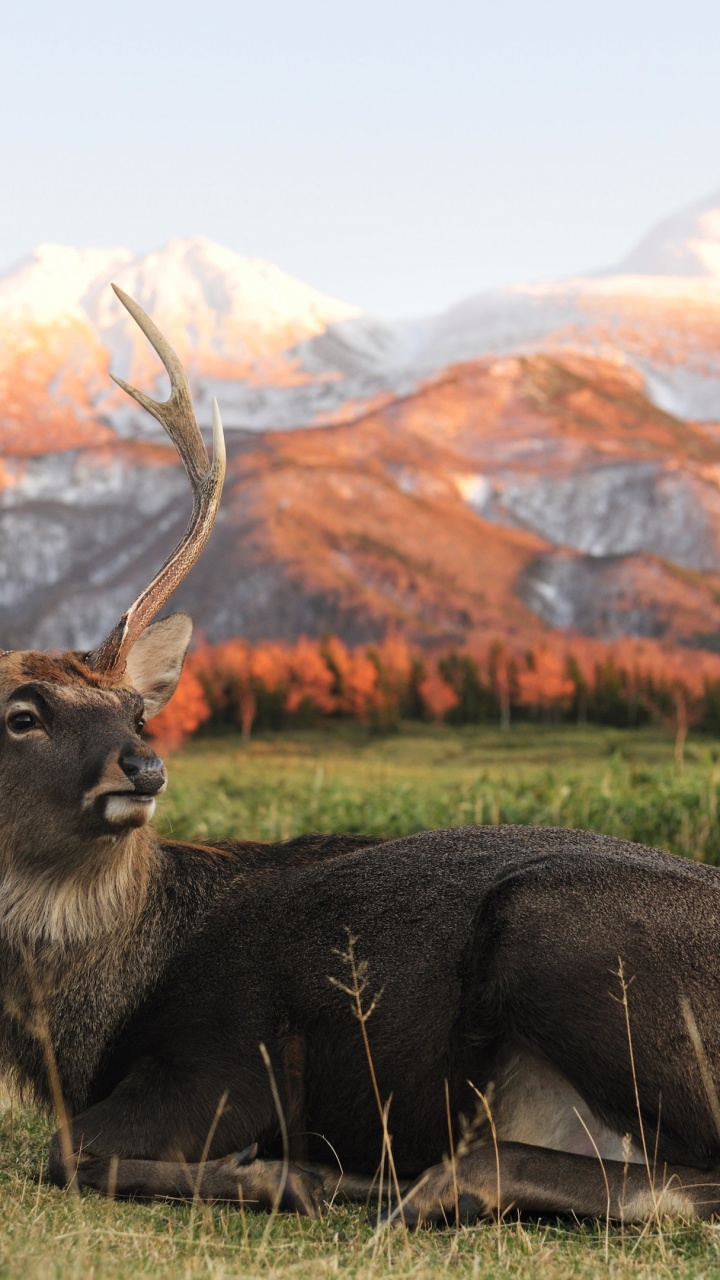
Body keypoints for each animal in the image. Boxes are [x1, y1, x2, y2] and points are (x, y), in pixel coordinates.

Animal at [2, 286, 720, 1227]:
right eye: (21, 714)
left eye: (135, 711)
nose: (143, 769)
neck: (88, 1025)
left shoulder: (231, 1061)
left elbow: (66, 1151)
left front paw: (272, 1171)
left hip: (557, 929)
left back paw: (371, 1181)